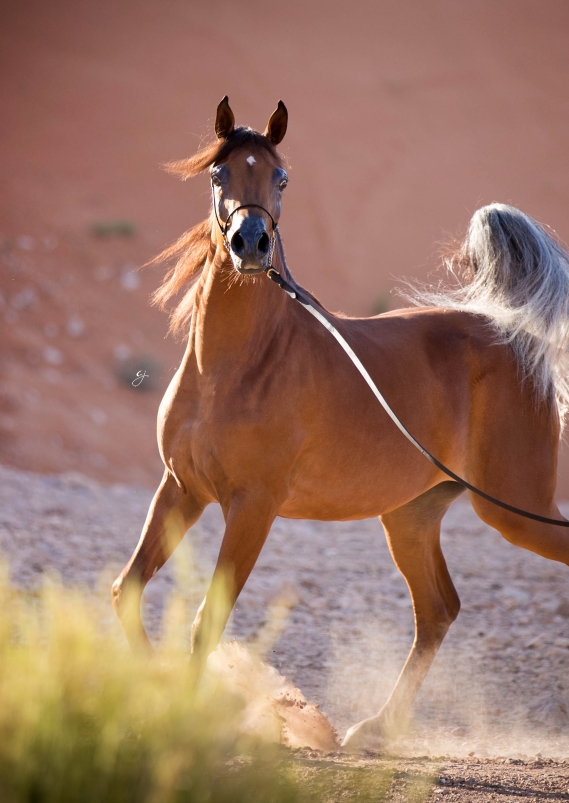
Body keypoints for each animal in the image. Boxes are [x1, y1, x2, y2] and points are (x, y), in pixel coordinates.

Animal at [113, 100, 568, 752]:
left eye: (281, 178)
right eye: (218, 175)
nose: (250, 243)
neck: (234, 367)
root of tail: (515, 334)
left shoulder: (252, 506)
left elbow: (207, 620)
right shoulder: (182, 488)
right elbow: (128, 591)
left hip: (515, 511)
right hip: (413, 515)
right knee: (438, 609)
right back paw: (376, 728)